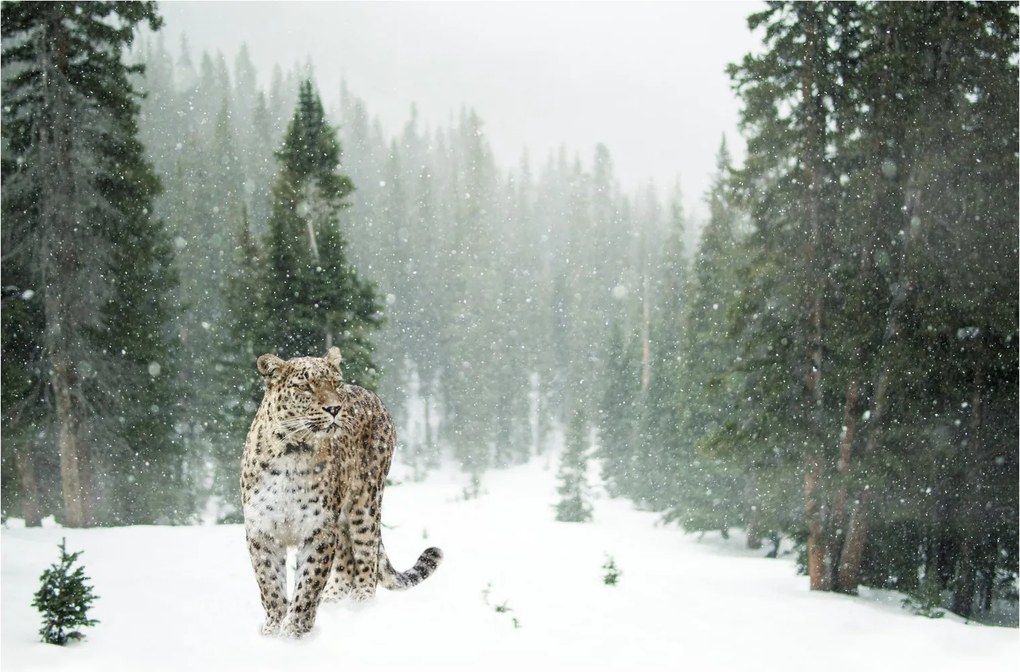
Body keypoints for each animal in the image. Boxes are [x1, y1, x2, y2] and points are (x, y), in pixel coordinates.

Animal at [240, 346, 442, 638]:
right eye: (305, 386)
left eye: (335, 384)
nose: (335, 408)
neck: (292, 452)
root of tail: (372, 394)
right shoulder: (262, 530)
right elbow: (270, 584)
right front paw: (273, 630)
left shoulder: (319, 529)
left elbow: (309, 584)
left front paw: (295, 632)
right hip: (344, 517)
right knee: (347, 560)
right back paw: (333, 601)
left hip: (365, 503)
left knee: (367, 557)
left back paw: (361, 607)